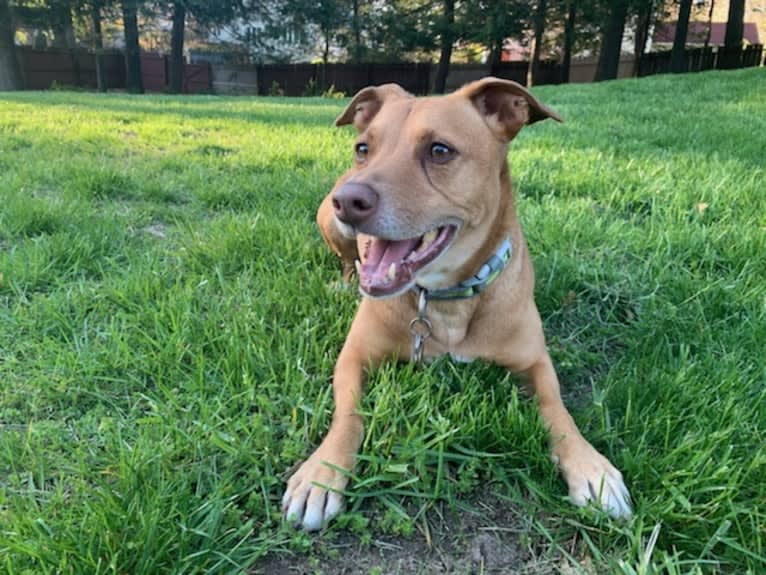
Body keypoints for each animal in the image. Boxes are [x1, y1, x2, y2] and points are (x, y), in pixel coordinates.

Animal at [284, 77, 636, 532]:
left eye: (440, 150)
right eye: (363, 147)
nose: (348, 201)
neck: (445, 295)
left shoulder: (535, 362)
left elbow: (558, 411)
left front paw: (591, 468)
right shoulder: (354, 357)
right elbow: (348, 414)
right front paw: (322, 473)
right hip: (329, 225)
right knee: (347, 261)